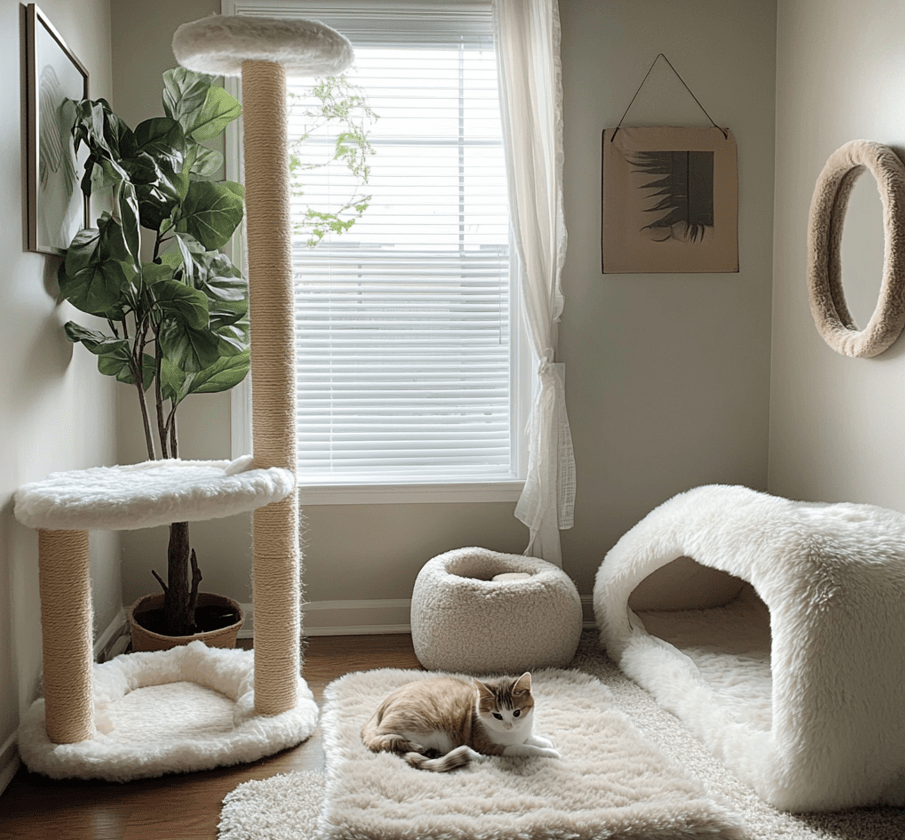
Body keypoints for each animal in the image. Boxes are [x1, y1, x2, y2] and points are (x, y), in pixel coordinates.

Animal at [360, 668, 556, 776]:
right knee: (399, 746)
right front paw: (550, 753)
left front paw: (546, 742)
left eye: (516, 712)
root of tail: (379, 709)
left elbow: (531, 739)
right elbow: (526, 748)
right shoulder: (491, 747)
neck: (515, 733)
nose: (508, 726)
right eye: (497, 715)